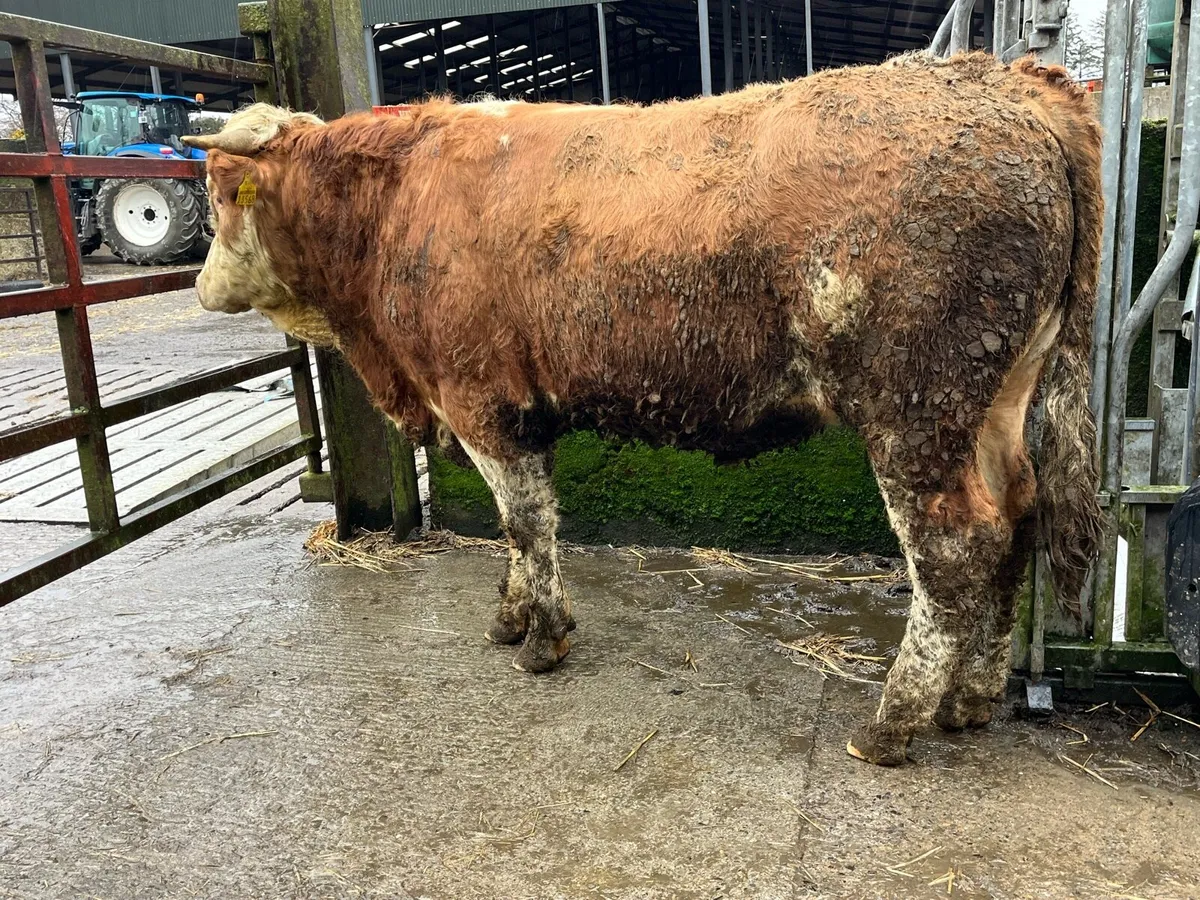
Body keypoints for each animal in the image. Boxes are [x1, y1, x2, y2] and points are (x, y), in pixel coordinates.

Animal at [184, 51, 1102, 766]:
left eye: (223, 193)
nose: (198, 287)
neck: (398, 201)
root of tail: (1008, 82)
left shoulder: (480, 399)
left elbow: (524, 523)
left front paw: (541, 639)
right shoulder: (516, 409)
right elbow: (528, 527)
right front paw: (514, 616)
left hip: (914, 407)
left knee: (955, 546)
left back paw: (893, 722)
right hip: (996, 397)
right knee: (1016, 518)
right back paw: (971, 697)